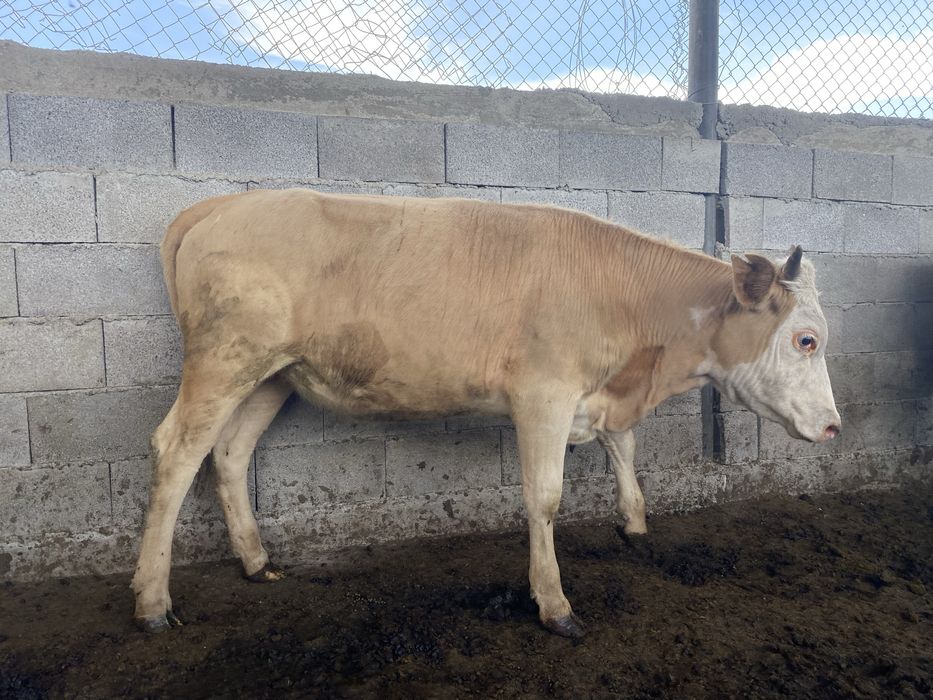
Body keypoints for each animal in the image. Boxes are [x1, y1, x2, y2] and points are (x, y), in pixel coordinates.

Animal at [131, 189, 840, 637]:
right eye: (807, 339)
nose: (835, 426)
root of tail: (220, 204)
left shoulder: (599, 396)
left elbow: (624, 447)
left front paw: (634, 523)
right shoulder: (544, 394)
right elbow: (544, 497)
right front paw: (553, 604)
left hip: (273, 375)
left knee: (228, 453)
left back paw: (256, 562)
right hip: (225, 358)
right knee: (176, 450)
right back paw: (152, 601)